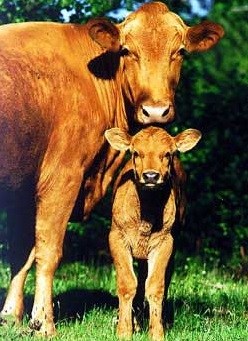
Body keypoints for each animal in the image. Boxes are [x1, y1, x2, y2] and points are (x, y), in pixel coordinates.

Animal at [104, 125, 202, 340]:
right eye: (135, 153)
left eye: (168, 154)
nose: (150, 176)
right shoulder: (117, 237)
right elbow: (127, 284)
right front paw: (124, 330)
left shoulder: (165, 242)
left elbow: (156, 286)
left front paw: (157, 332)